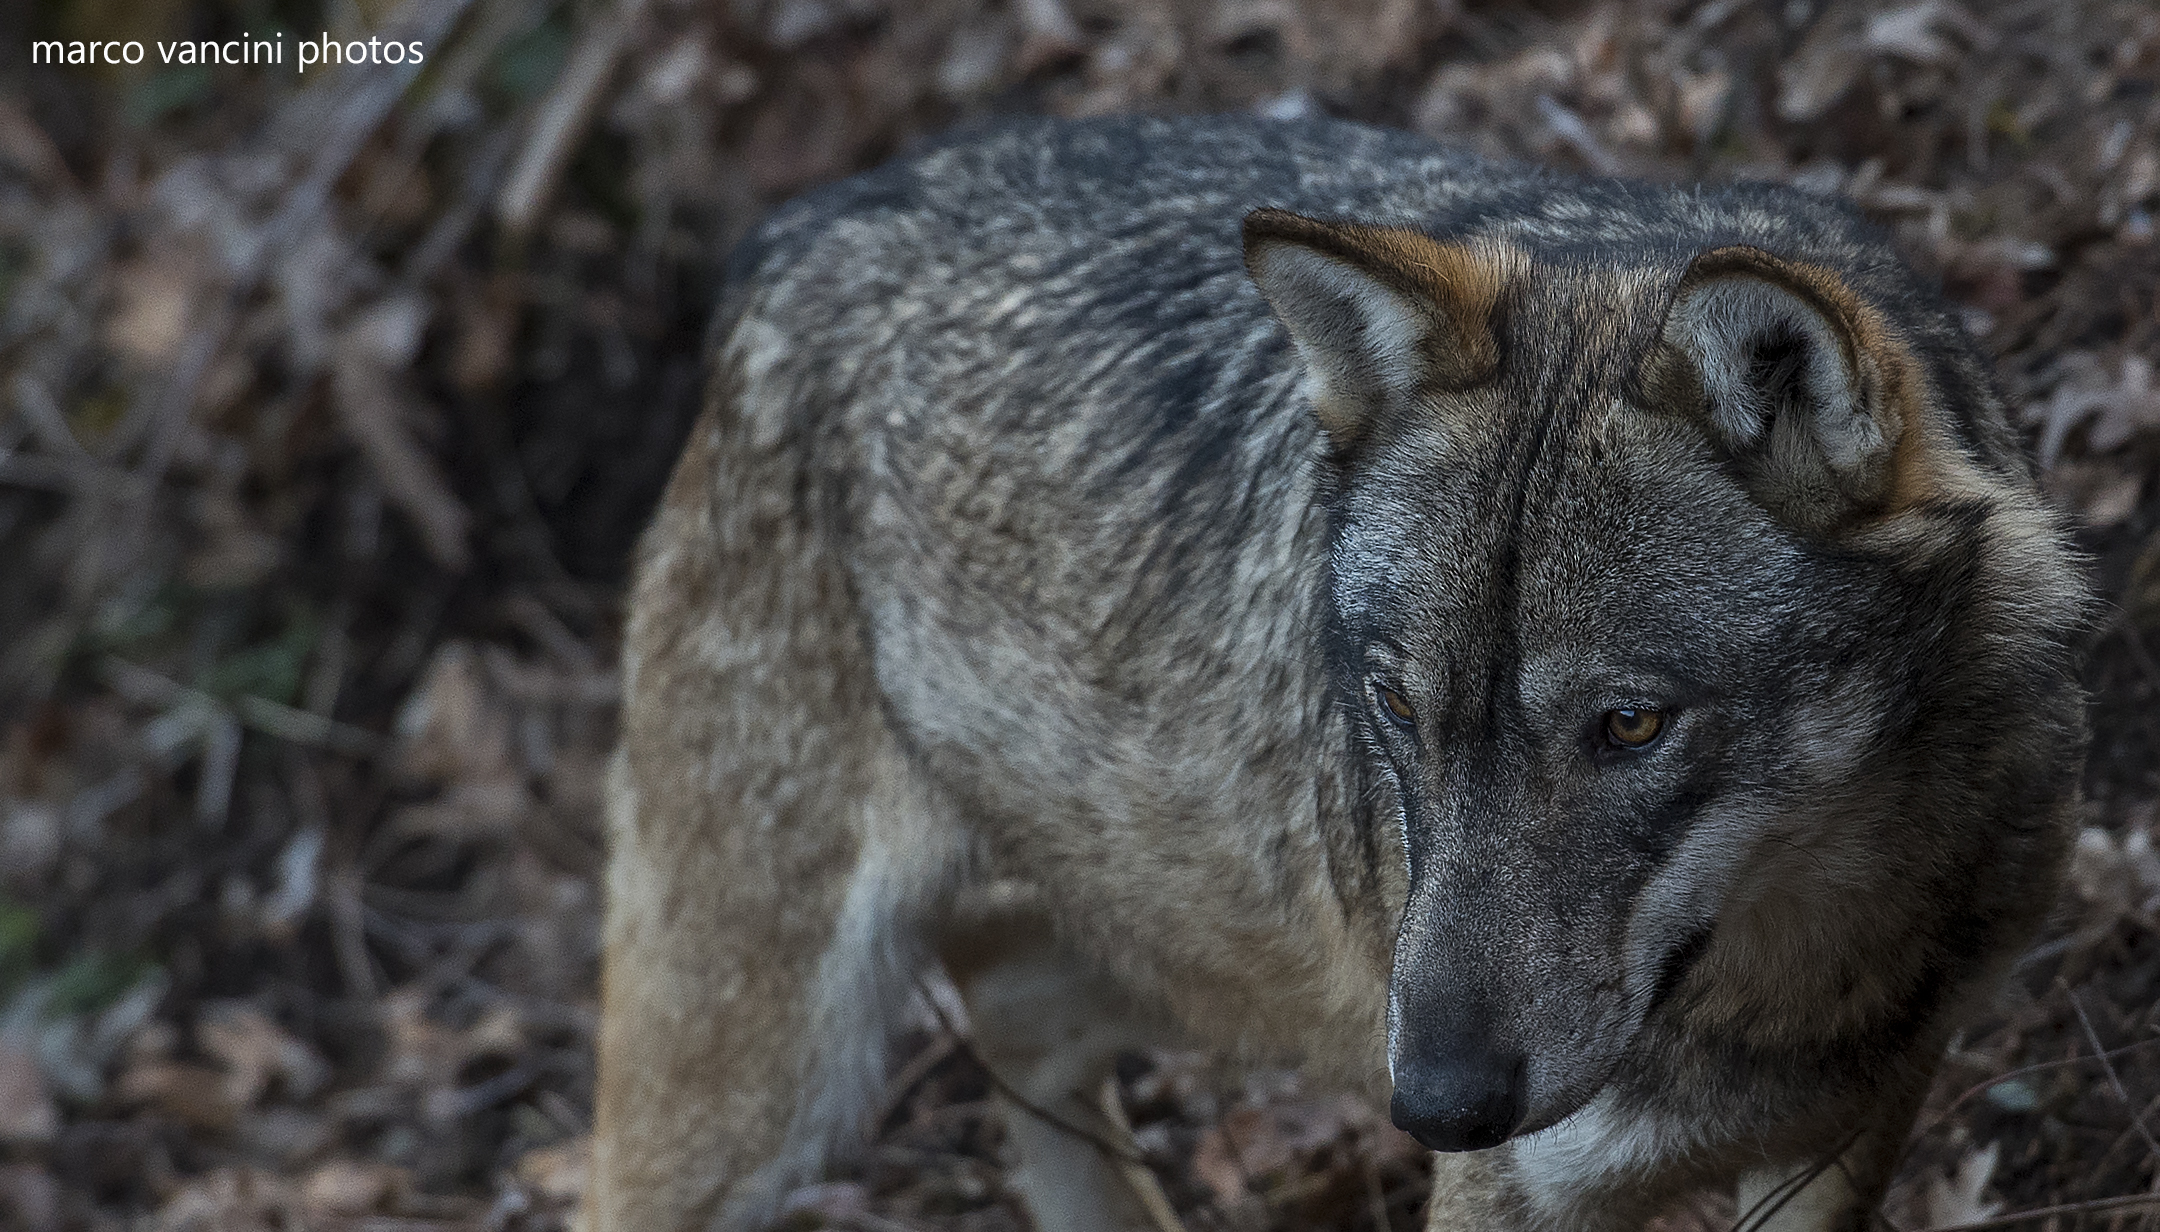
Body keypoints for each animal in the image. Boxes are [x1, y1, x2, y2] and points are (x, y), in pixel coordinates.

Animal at [586, 113, 2089, 1232]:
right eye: (1397, 705)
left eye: (1630, 724)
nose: (1435, 1103)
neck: (1804, 959)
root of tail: (797, 230)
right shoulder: (1509, 1190)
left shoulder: (1858, 1121)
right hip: (759, 1095)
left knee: (1016, 1015)